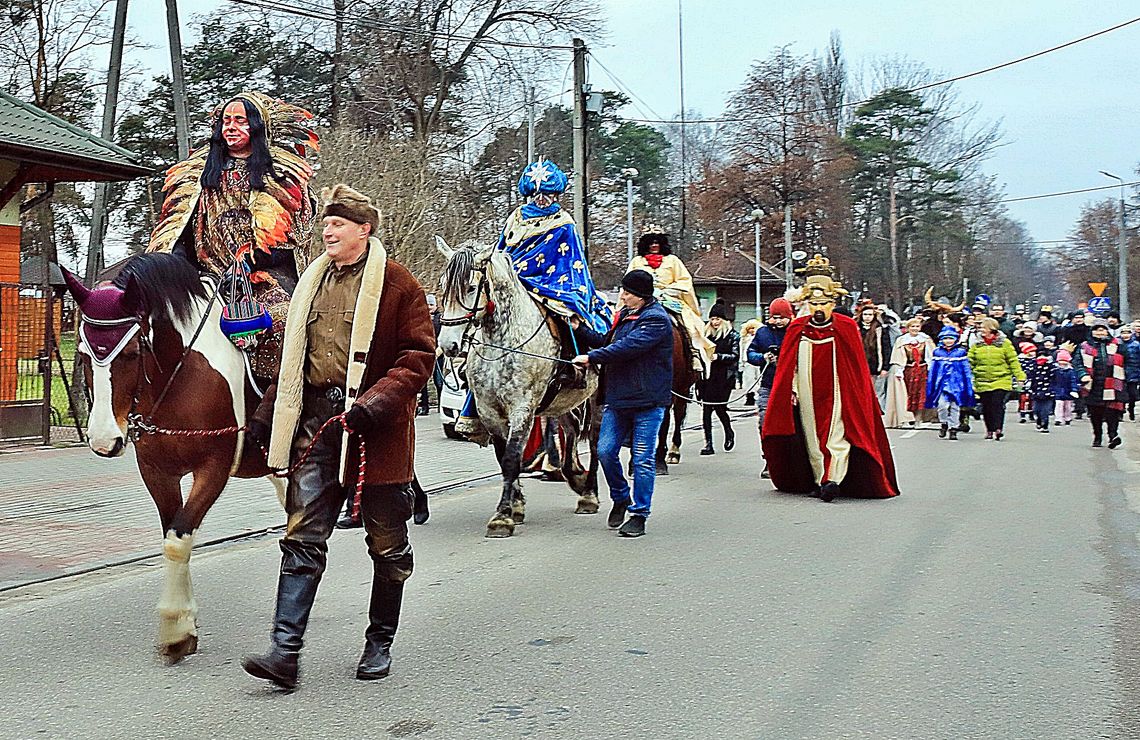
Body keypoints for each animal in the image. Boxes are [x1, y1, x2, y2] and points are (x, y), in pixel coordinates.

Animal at [63, 255, 283, 665]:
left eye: (131, 353)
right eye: (83, 355)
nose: (103, 440)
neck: (182, 374)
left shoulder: (213, 469)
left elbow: (180, 538)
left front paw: (176, 627)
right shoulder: (157, 472)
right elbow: (172, 537)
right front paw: (184, 625)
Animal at [430, 237, 601, 535]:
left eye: (471, 287)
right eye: (442, 286)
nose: (448, 345)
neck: (504, 342)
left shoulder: (522, 409)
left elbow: (512, 458)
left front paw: (502, 516)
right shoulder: (490, 411)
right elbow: (504, 458)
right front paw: (516, 506)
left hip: (597, 399)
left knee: (594, 443)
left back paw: (589, 494)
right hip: (563, 403)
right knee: (569, 435)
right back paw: (573, 476)